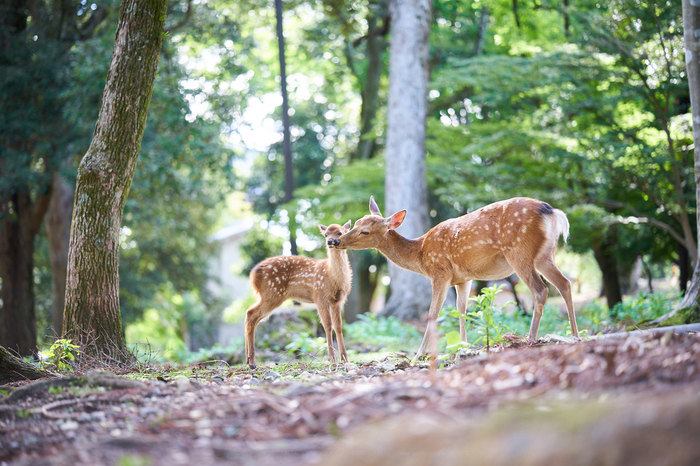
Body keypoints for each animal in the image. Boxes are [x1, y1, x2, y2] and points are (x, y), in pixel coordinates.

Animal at [246, 221, 356, 368]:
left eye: (340, 232)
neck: (332, 276)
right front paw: (332, 359)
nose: (330, 241)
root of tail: (253, 274)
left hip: (270, 295)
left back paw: (248, 360)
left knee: (252, 317)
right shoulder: (320, 296)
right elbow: (327, 326)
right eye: (326, 234)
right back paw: (252, 362)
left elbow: (338, 326)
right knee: (251, 314)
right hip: (272, 292)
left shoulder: (337, 300)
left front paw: (345, 359)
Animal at [336, 197, 576, 360]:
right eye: (355, 223)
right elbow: (462, 311)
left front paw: (418, 356)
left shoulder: (440, 272)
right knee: (564, 283)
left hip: (520, 251)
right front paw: (463, 348)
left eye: (365, 231)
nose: (336, 241)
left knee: (540, 289)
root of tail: (552, 211)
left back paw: (530, 338)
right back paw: (574, 335)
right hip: (545, 255)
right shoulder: (463, 279)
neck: (420, 256)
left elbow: (433, 314)